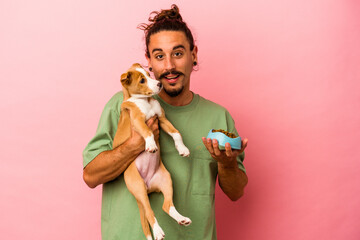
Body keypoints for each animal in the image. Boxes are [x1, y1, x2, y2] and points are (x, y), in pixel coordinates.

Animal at [112, 63, 191, 240]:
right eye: (142, 80)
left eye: (149, 74)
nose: (160, 84)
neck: (145, 100)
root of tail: (148, 187)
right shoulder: (137, 121)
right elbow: (147, 131)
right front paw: (151, 145)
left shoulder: (161, 118)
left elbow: (176, 133)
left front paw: (182, 149)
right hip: (138, 186)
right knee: (149, 212)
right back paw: (158, 231)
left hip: (166, 180)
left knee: (166, 206)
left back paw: (181, 218)